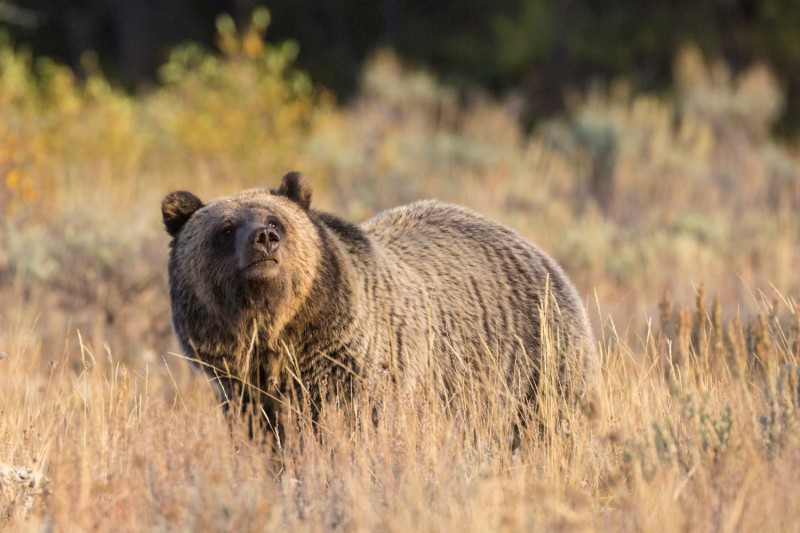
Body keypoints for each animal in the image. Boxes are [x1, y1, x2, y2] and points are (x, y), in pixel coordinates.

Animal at [162, 172, 596, 430]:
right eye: (226, 228)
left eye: (276, 221)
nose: (264, 239)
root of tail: (538, 249)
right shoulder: (242, 388)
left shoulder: (354, 366)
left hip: (536, 360)